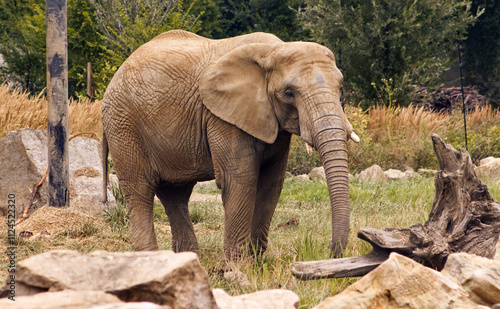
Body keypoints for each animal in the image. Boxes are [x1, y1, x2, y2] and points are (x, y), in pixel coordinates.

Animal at [102, 29, 360, 260]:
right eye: (289, 93)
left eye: (340, 88)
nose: (331, 253)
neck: (273, 50)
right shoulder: (222, 117)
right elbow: (239, 178)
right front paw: (237, 267)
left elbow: (271, 182)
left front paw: (256, 262)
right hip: (123, 126)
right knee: (140, 190)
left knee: (175, 194)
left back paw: (188, 259)